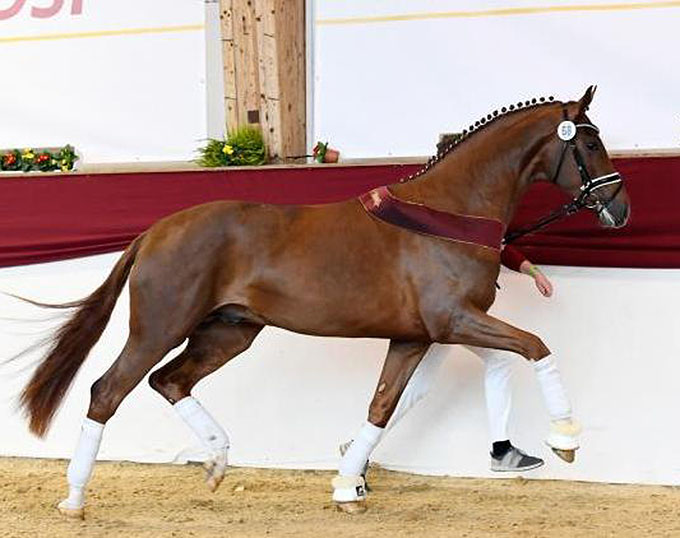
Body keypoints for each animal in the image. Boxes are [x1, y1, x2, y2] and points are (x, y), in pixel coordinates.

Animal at [17, 86, 630, 517]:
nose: (618, 209)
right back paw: (74, 499)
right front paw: (564, 439)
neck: (449, 212)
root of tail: (154, 231)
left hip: (228, 331)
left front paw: (347, 484)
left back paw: (216, 460)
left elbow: (384, 405)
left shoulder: (419, 335)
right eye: (590, 143)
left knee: (169, 381)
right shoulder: (455, 321)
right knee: (108, 390)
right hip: (160, 327)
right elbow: (537, 346)